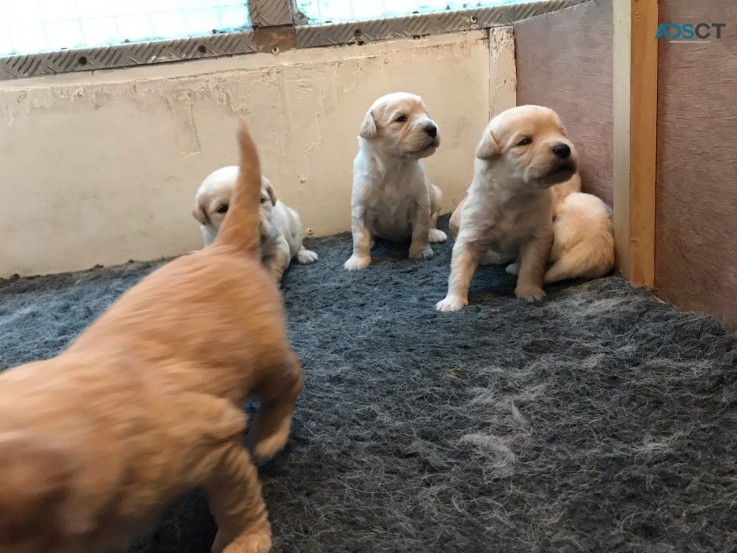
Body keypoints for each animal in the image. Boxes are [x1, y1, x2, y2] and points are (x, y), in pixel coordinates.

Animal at [0, 121, 302, 552]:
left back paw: (269, 435)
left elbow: (234, 501)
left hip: (264, 352)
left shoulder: (211, 440)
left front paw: (244, 539)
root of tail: (223, 249)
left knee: (288, 378)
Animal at [342, 91, 446, 270]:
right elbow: (360, 236)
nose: (433, 128)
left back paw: (434, 234)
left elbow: (421, 229)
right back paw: (372, 241)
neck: (395, 166)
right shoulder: (361, 208)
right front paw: (358, 260)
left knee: (432, 220)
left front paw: (421, 251)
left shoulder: (420, 203)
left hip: (436, 194)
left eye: (426, 114)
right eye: (401, 118)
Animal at [434, 103, 576, 310]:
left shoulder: (538, 235)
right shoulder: (471, 233)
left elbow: (531, 266)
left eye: (562, 133)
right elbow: (459, 269)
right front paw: (452, 301)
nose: (563, 148)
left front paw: (529, 291)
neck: (516, 194)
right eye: (524, 141)